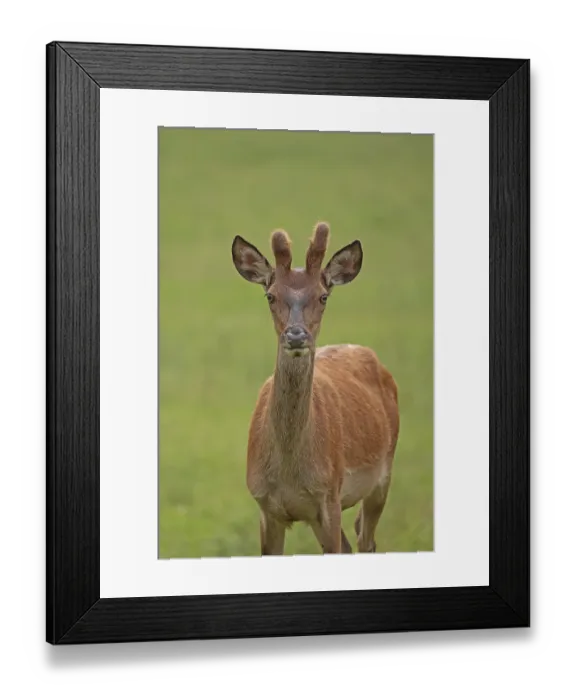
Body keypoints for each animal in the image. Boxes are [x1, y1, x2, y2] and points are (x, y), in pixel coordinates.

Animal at [231, 222, 400, 555]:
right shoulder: (265, 506)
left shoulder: (329, 496)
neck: (290, 473)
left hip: (382, 474)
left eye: (323, 296)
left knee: (366, 539)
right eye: (270, 295)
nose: (296, 335)